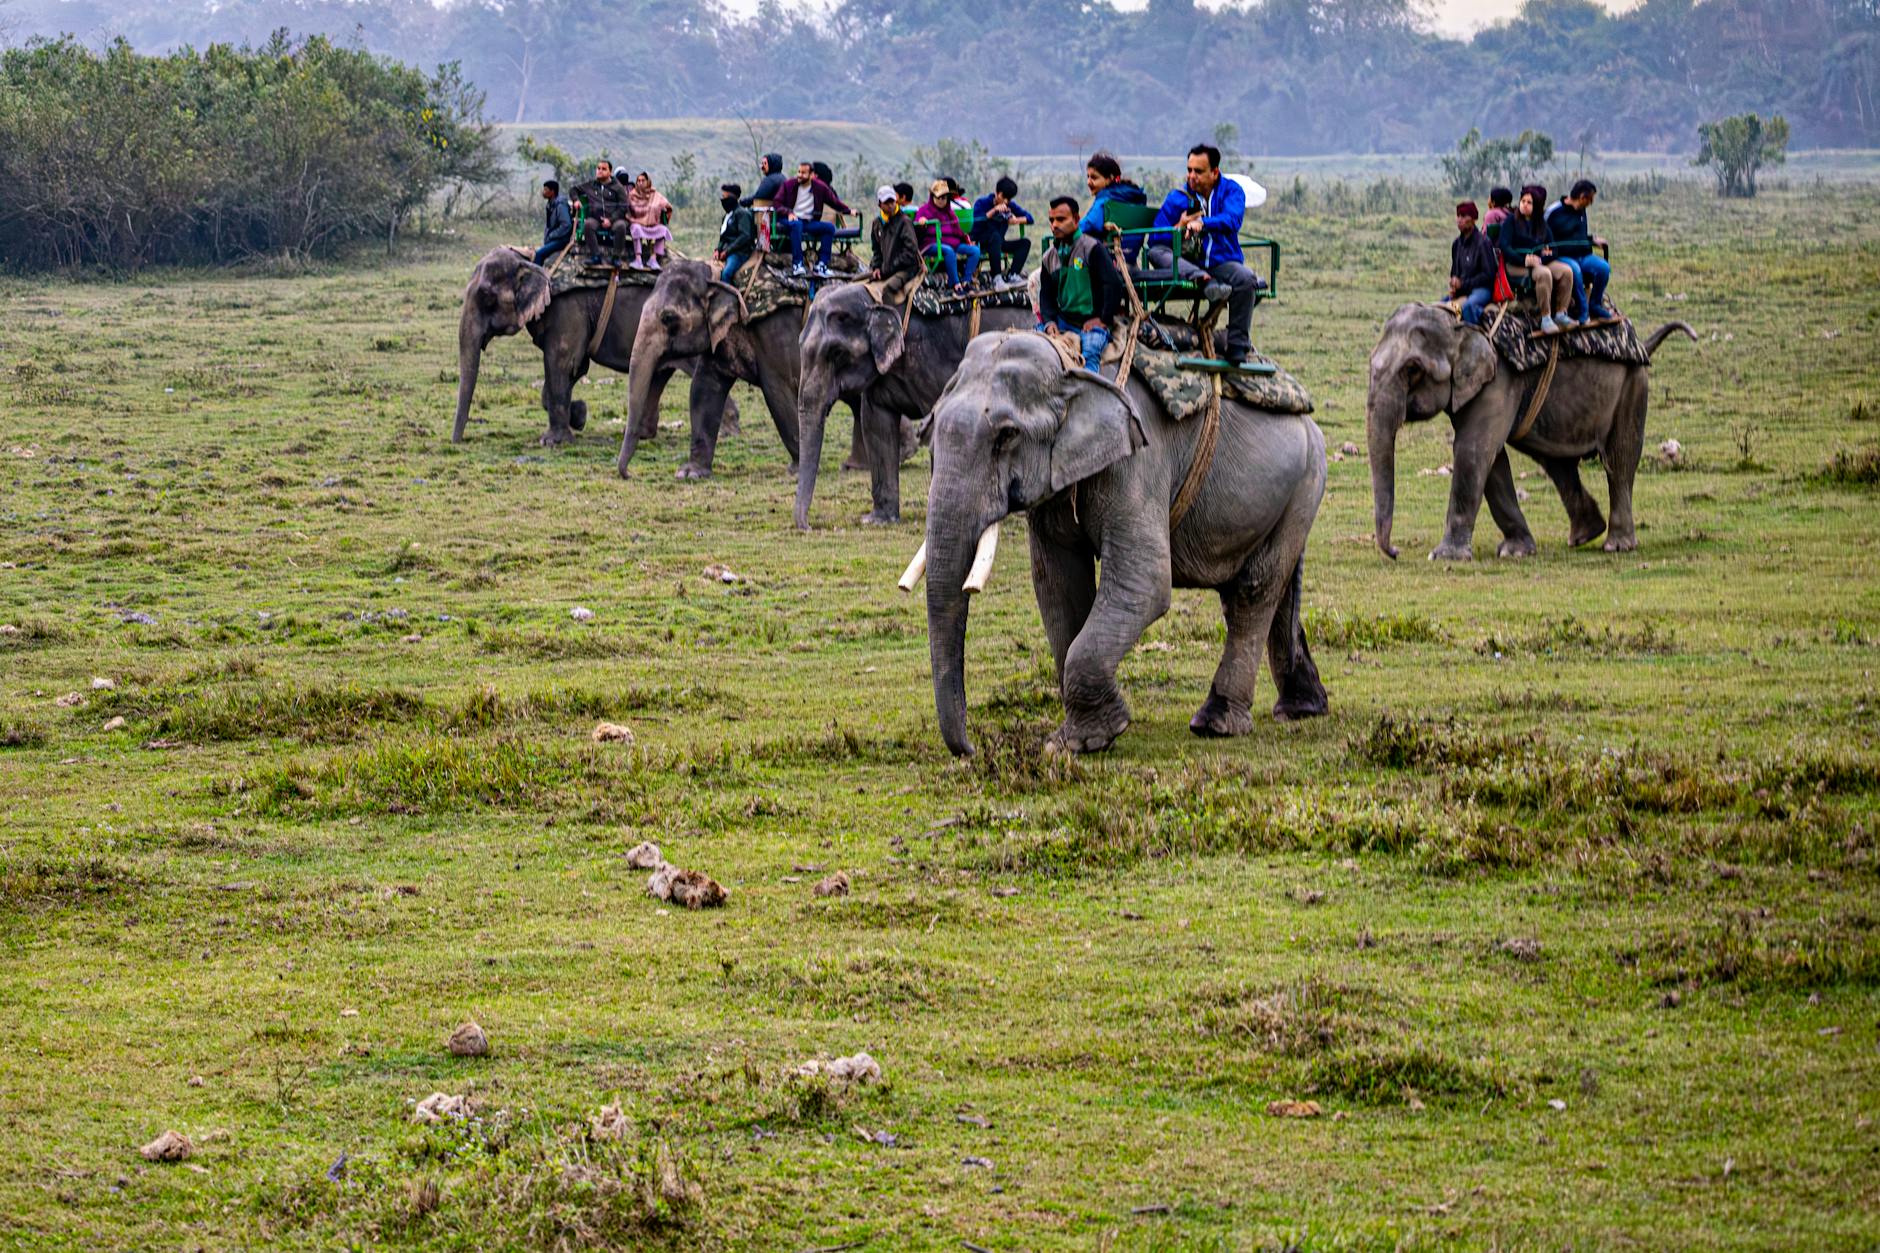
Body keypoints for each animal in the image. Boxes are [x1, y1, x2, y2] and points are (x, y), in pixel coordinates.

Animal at [452, 247, 734, 448]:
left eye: (487, 297)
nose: (457, 442)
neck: (532, 259)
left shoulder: (566, 308)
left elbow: (563, 362)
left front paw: (553, 442)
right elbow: (575, 369)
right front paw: (579, 416)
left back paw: (727, 432)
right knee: (658, 376)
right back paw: (641, 434)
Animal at [795, 282, 1034, 531]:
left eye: (837, 352)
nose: (808, 527)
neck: (879, 296)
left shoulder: (935, 356)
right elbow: (876, 423)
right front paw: (877, 520)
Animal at [909, 331, 1329, 757]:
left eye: (1007, 435)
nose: (971, 750)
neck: (1072, 366)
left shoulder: (1139, 461)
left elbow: (1145, 582)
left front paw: (1085, 740)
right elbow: (1058, 586)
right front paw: (1079, 738)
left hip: (1307, 481)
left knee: (1253, 591)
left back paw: (1216, 723)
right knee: (1273, 590)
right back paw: (1302, 708)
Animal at [1365, 303, 1695, 560]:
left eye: (1412, 369)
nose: (1395, 552)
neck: (1457, 323)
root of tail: (1640, 341)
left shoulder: (1500, 379)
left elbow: (1473, 450)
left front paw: (1444, 556)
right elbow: (1491, 459)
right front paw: (1516, 552)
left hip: (1633, 385)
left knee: (1619, 459)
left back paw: (1617, 545)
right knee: (1557, 462)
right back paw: (1585, 535)